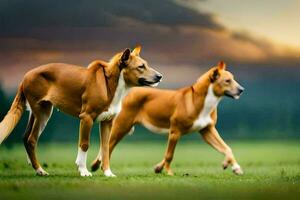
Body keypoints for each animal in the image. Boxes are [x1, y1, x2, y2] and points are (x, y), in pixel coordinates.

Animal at [0, 45, 162, 177]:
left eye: (146, 65)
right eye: (141, 66)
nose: (160, 76)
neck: (110, 84)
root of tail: (25, 76)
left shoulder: (107, 122)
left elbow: (105, 148)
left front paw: (108, 173)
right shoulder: (86, 118)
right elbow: (84, 144)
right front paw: (84, 171)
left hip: (39, 113)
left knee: (26, 138)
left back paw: (33, 165)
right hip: (41, 113)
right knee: (31, 140)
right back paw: (40, 170)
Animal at [101, 61, 244, 177]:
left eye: (233, 79)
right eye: (227, 81)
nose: (241, 89)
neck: (204, 102)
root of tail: (127, 93)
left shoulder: (207, 131)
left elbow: (227, 148)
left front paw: (234, 166)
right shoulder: (175, 131)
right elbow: (169, 155)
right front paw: (168, 172)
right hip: (121, 127)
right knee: (107, 147)